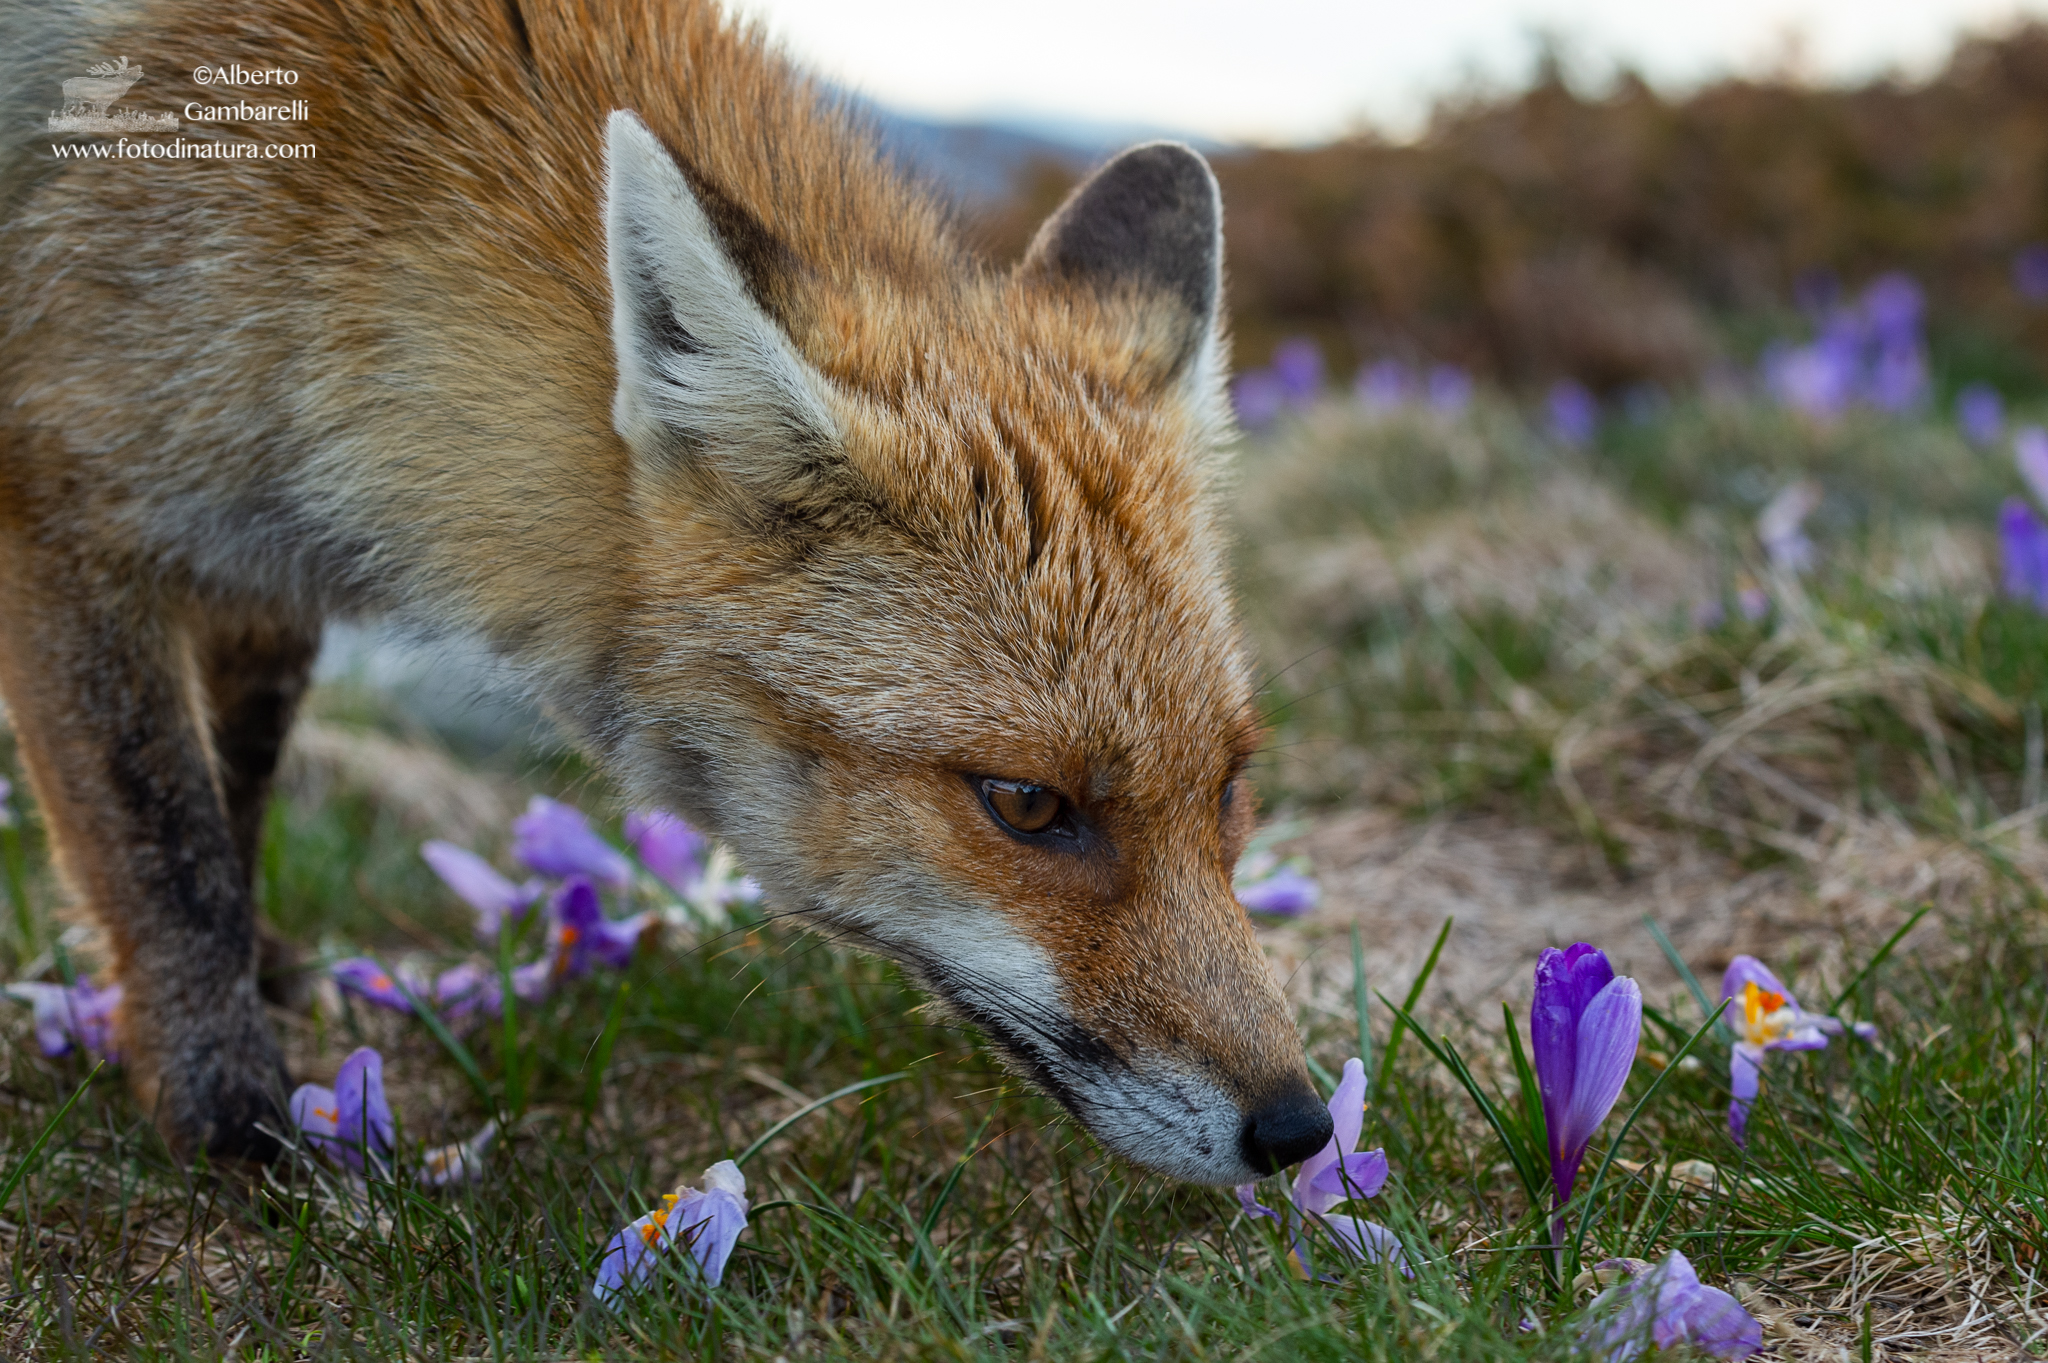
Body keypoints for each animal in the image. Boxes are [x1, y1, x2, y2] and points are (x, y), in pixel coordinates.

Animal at [0, 0, 1336, 1185]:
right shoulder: (63, 504)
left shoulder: (257, 559)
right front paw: (222, 1108)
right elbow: (168, 851)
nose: (1298, 1130)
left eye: (1228, 785)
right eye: (1024, 804)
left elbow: (237, 786)